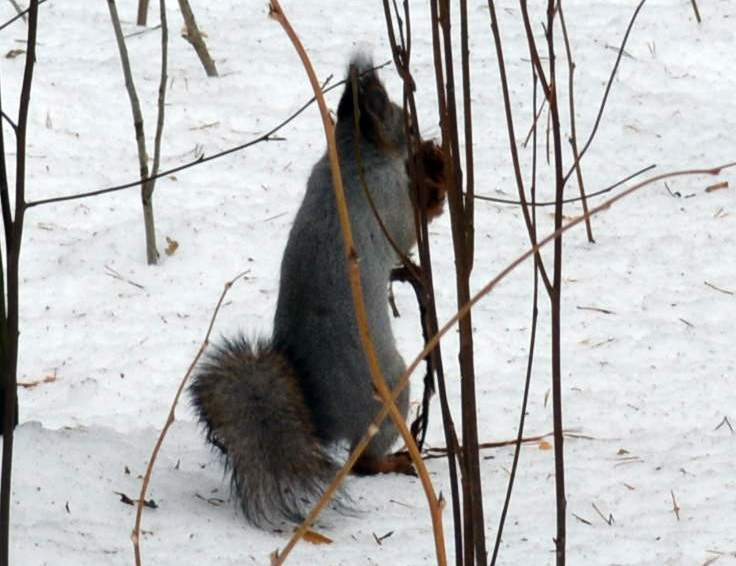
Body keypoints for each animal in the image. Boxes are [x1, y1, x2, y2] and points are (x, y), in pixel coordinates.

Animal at [189, 56, 446, 527]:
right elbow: (408, 232)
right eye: (404, 123)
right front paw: (434, 188)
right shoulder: (387, 203)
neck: (348, 160)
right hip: (388, 392)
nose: (422, 138)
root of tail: (320, 418)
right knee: (364, 464)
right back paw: (395, 461)